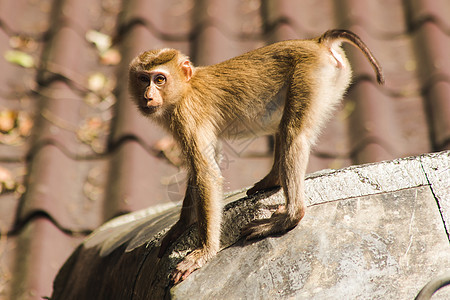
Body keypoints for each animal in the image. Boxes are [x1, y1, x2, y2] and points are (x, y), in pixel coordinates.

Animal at [128, 28, 384, 284]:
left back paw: (290, 216)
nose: (148, 96)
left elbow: (206, 173)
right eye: (143, 79)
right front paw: (181, 226)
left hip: (310, 75)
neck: (184, 89)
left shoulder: (186, 116)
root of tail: (318, 43)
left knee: (293, 134)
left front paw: (204, 251)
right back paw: (273, 180)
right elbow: (204, 166)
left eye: (159, 79)